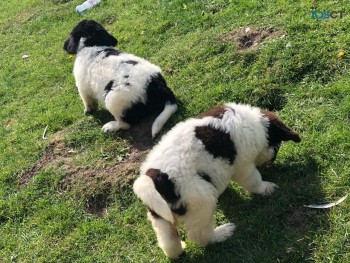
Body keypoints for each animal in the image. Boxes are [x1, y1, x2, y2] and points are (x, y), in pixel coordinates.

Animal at [133, 102, 300, 258]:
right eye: (277, 146)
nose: (272, 160)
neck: (255, 122)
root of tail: (155, 178)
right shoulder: (243, 165)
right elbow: (254, 180)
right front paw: (267, 188)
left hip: (159, 214)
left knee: (168, 241)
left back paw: (179, 249)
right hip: (201, 202)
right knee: (200, 235)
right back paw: (222, 233)